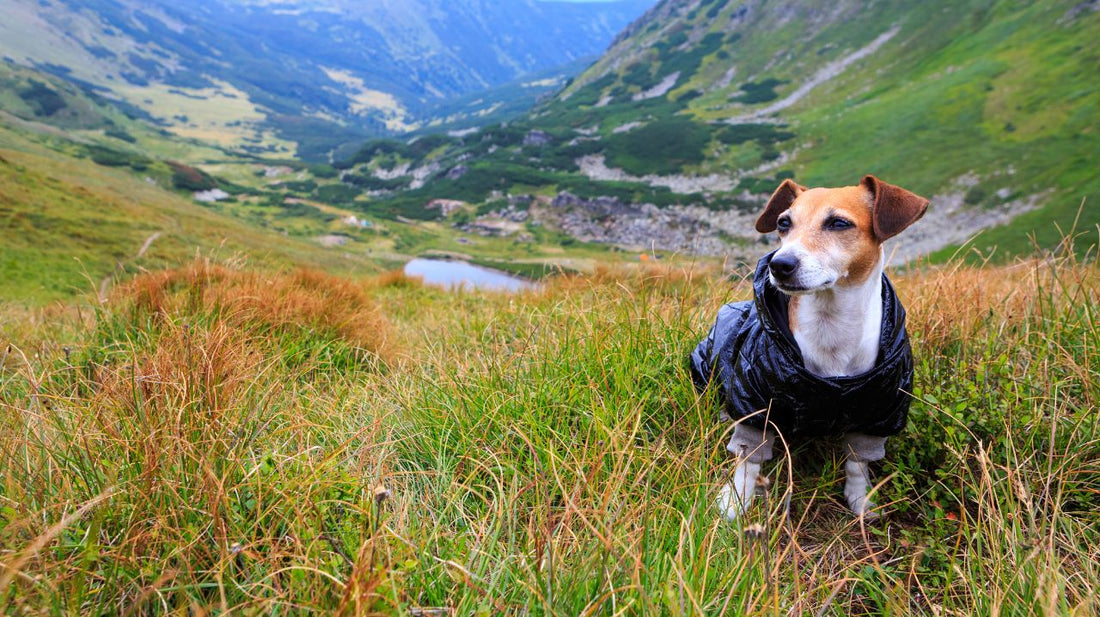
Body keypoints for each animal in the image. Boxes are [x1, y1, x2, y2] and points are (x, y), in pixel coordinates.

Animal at [686, 174, 928, 519]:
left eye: (839, 223)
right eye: (783, 223)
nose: (779, 264)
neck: (829, 326)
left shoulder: (880, 409)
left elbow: (858, 462)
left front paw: (861, 500)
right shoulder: (756, 404)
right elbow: (747, 460)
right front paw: (734, 501)